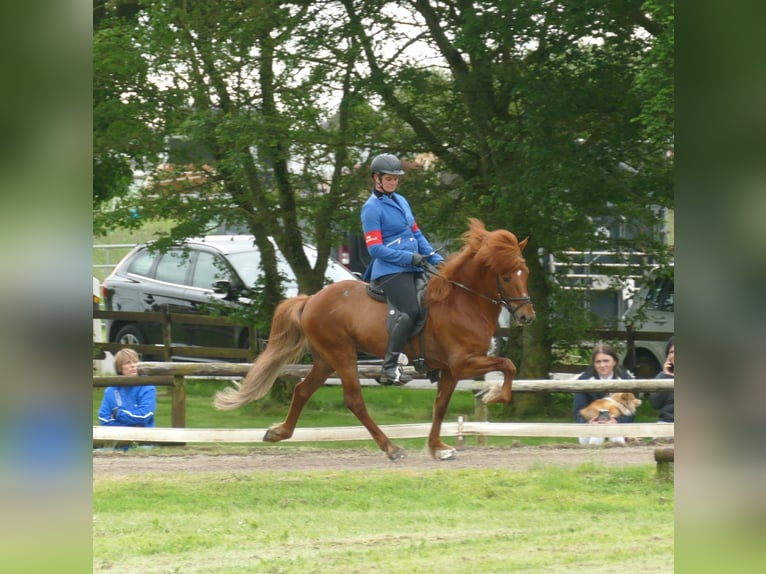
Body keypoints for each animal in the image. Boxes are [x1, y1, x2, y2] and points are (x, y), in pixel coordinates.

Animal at [213, 218, 536, 462]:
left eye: (526, 273)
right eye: (507, 277)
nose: (527, 316)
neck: (462, 301)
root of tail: (312, 299)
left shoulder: (450, 369)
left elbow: (441, 405)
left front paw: (437, 447)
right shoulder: (464, 363)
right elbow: (508, 365)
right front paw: (494, 396)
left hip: (326, 359)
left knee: (303, 390)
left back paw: (279, 432)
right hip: (342, 354)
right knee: (354, 400)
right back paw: (391, 448)